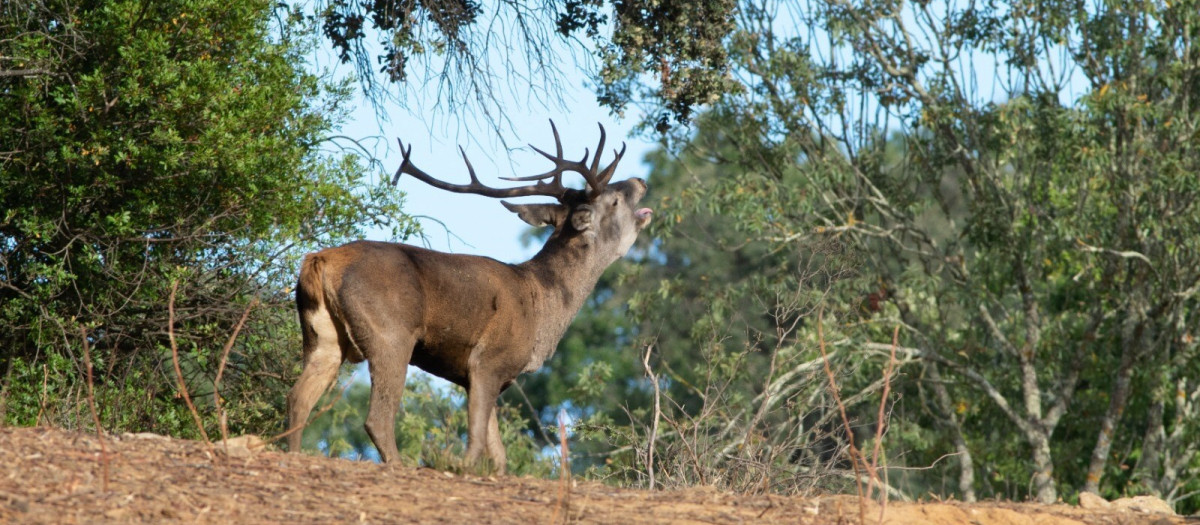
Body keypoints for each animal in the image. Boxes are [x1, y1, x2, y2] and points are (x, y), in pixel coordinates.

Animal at [285, 121, 652, 474]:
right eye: (614, 200)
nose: (641, 180)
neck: (542, 307)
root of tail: (319, 261)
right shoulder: (489, 360)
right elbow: (476, 443)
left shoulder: (478, 376)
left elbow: (498, 453)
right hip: (390, 334)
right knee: (377, 417)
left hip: (322, 337)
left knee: (297, 398)